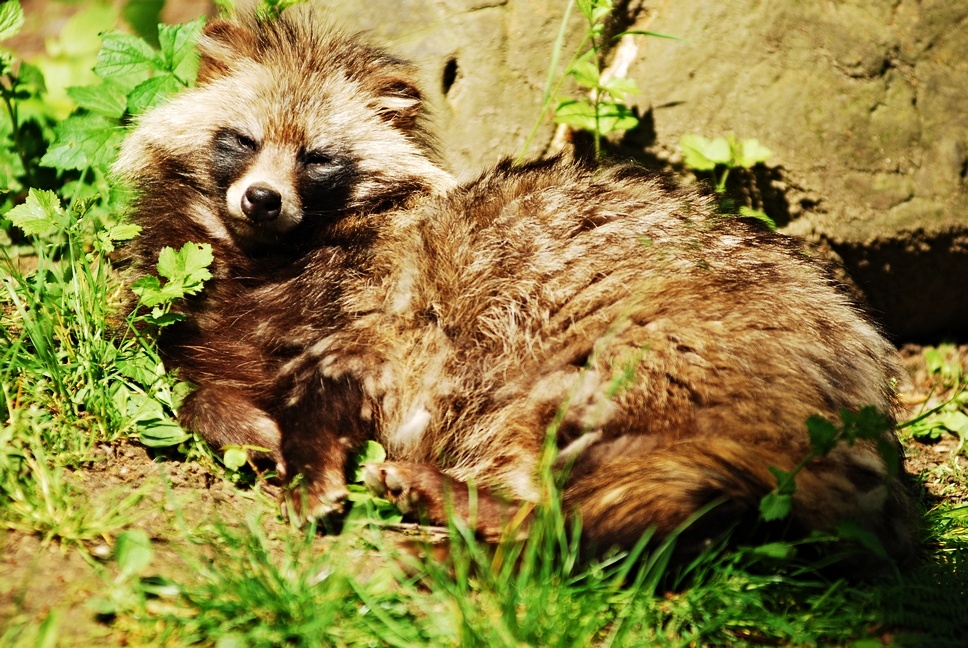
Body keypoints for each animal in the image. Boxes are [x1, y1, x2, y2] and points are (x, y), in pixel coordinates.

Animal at [113, 6, 916, 560]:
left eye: (317, 159)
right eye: (241, 140)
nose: (261, 199)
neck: (270, 255)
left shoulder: (389, 317)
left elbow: (345, 384)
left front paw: (309, 458)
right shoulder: (199, 309)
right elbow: (184, 377)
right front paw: (239, 422)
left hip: (643, 362)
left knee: (588, 500)